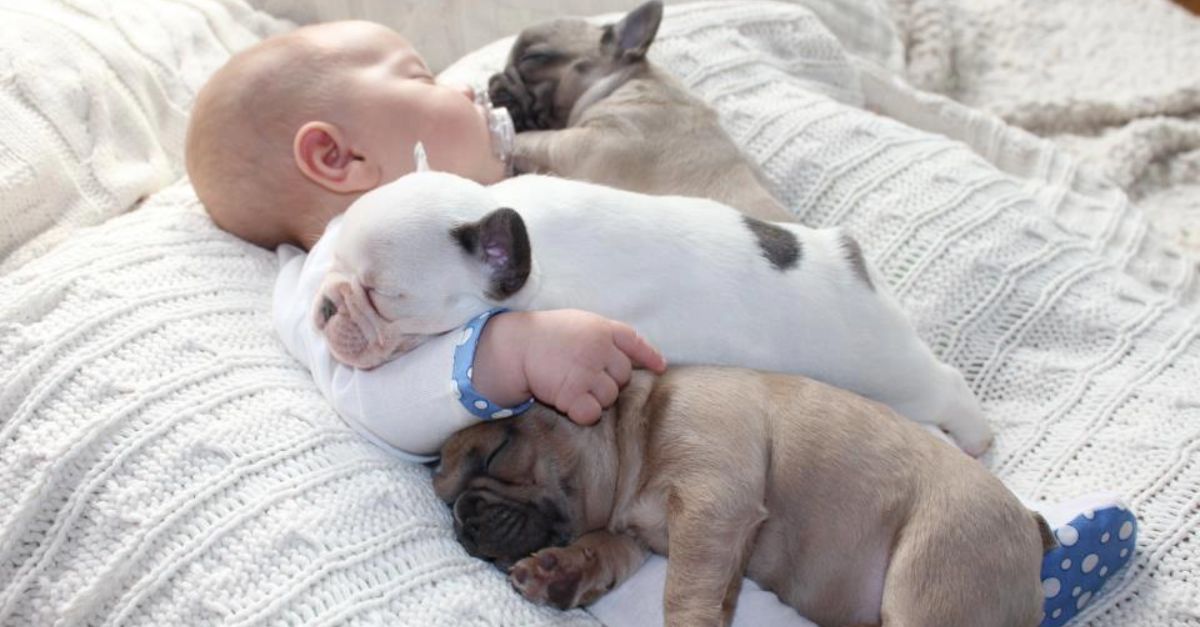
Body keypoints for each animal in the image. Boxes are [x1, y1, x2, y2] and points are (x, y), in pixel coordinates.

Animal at [312, 162, 993, 454]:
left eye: (381, 297)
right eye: (336, 262)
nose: (323, 304)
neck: (538, 249)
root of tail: (847, 257)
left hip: (887, 370)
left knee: (944, 385)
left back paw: (976, 434)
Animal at [436, 365, 1056, 624]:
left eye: (496, 452)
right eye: (444, 499)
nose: (462, 518)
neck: (638, 428)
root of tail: (1031, 526)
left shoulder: (714, 504)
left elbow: (684, 595)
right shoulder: (634, 534)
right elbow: (602, 550)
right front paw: (561, 572)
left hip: (935, 574)